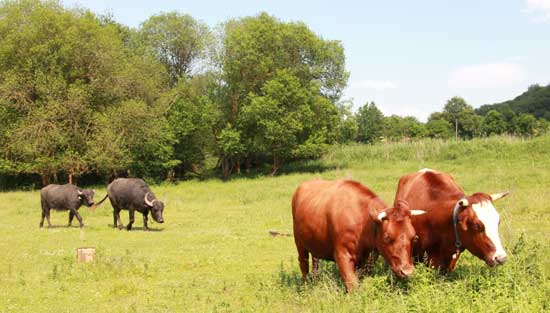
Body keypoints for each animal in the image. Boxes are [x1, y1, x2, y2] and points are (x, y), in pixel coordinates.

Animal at [294, 179, 426, 292]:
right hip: (299, 243)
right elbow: (353, 285)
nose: (407, 271)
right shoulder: (342, 255)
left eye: (415, 237)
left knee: (315, 261)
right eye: (387, 237)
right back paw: (305, 287)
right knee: (303, 263)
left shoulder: (367, 258)